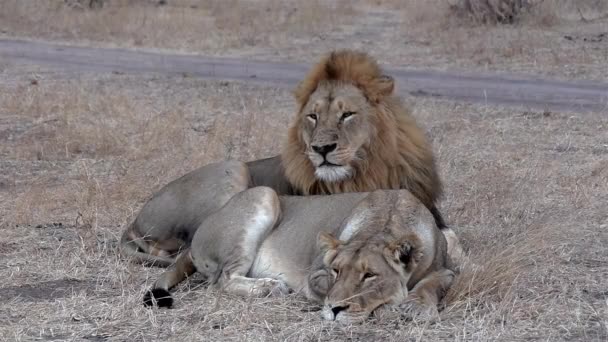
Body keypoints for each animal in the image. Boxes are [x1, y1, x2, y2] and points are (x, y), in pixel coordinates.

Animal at [120, 48, 456, 268]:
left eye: (347, 114)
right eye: (313, 116)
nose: (321, 149)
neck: (368, 170)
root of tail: (135, 220)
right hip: (233, 169)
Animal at [144, 187, 456, 324]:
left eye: (369, 275)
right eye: (336, 271)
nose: (335, 311)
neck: (388, 218)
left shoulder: (446, 269)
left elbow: (432, 285)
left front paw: (418, 306)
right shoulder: (314, 276)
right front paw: (391, 306)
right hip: (264, 195)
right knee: (221, 280)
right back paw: (270, 287)